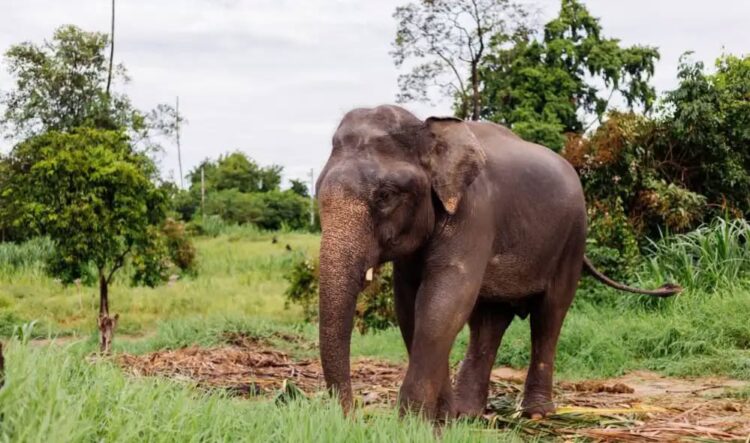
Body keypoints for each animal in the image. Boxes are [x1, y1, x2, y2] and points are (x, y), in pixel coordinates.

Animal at [315, 104, 680, 420]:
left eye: (386, 195)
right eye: (317, 192)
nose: (351, 416)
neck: (429, 128)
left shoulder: (474, 215)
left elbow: (441, 301)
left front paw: (412, 422)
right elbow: (410, 306)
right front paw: (441, 418)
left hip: (572, 240)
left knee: (550, 315)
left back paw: (535, 413)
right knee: (489, 321)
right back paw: (467, 413)